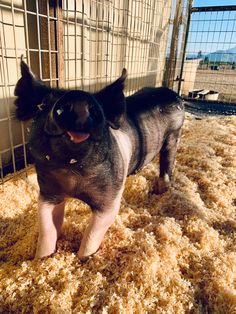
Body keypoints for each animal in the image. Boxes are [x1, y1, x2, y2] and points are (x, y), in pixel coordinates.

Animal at [14, 60, 184, 262]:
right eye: (42, 104)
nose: (77, 98)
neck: (72, 173)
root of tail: (172, 93)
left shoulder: (110, 200)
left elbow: (91, 234)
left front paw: (83, 260)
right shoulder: (48, 193)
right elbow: (47, 229)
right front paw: (40, 260)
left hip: (174, 136)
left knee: (168, 163)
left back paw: (160, 191)